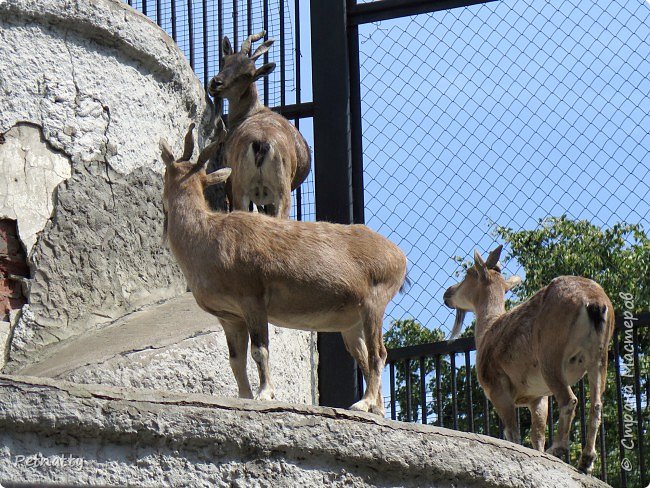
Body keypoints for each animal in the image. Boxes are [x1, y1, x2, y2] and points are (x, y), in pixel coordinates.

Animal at [158, 123, 404, 416]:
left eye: (165, 174)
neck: (206, 237)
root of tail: (399, 256)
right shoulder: (229, 316)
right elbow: (235, 360)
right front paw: (243, 397)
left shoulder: (252, 300)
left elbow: (260, 350)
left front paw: (265, 394)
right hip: (351, 323)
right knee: (365, 355)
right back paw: (376, 409)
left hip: (373, 303)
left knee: (379, 354)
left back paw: (362, 404)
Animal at [206, 31, 310, 218]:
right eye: (225, 60)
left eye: (247, 74)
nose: (216, 83)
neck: (251, 112)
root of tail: (262, 143)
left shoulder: (230, 182)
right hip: (280, 193)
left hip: (243, 188)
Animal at [440, 246, 612, 474]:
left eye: (469, 273)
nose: (447, 293)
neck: (487, 331)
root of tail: (594, 303)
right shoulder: (537, 396)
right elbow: (536, 434)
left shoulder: (498, 387)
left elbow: (512, 432)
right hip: (599, 357)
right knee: (597, 404)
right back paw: (586, 460)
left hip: (551, 357)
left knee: (569, 400)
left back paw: (557, 449)